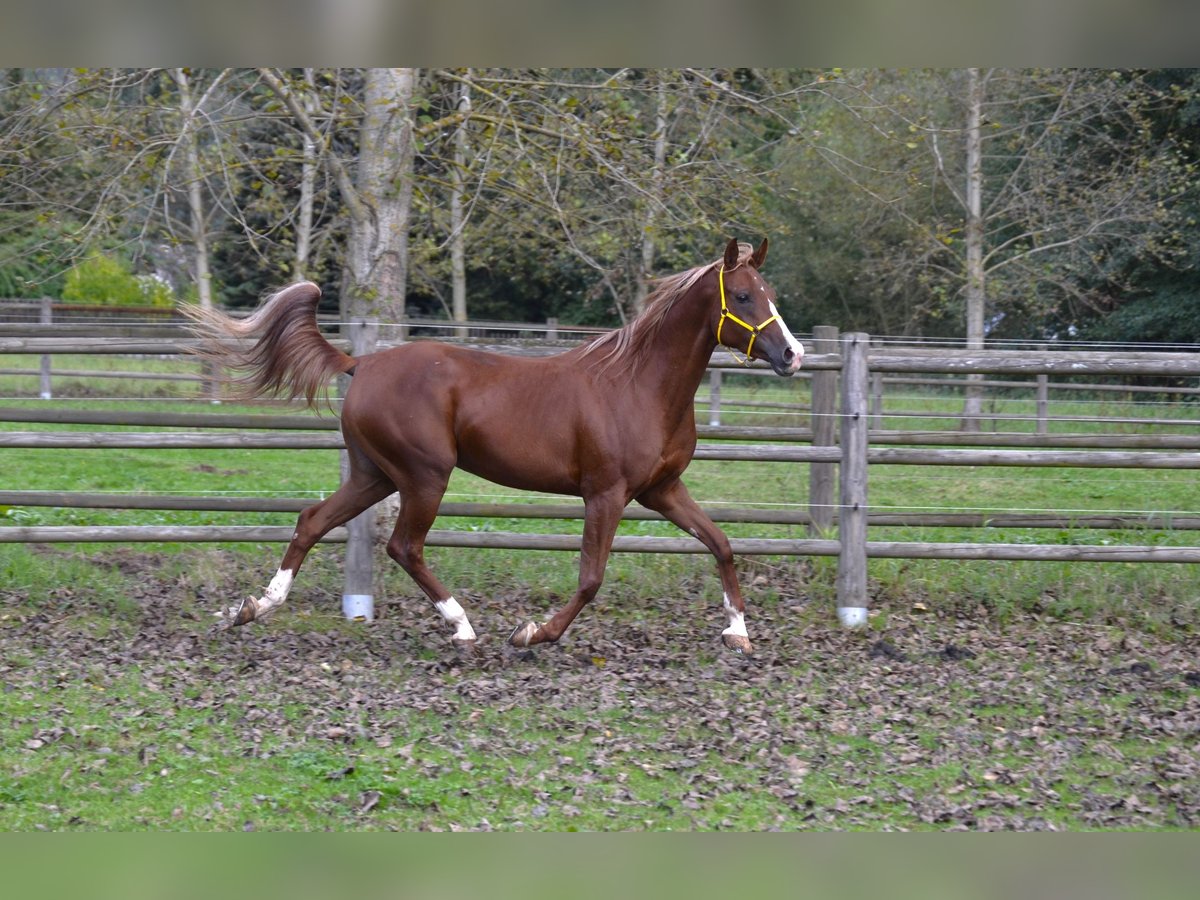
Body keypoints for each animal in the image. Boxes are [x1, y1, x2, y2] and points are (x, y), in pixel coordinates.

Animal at [184, 240, 806, 657]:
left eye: (771, 294)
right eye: (743, 296)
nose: (792, 355)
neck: (639, 385)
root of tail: (360, 363)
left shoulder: (662, 490)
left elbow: (721, 544)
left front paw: (738, 632)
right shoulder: (605, 494)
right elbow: (591, 578)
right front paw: (532, 632)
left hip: (374, 475)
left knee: (312, 520)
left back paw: (252, 608)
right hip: (425, 476)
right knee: (404, 546)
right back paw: (463, 626)